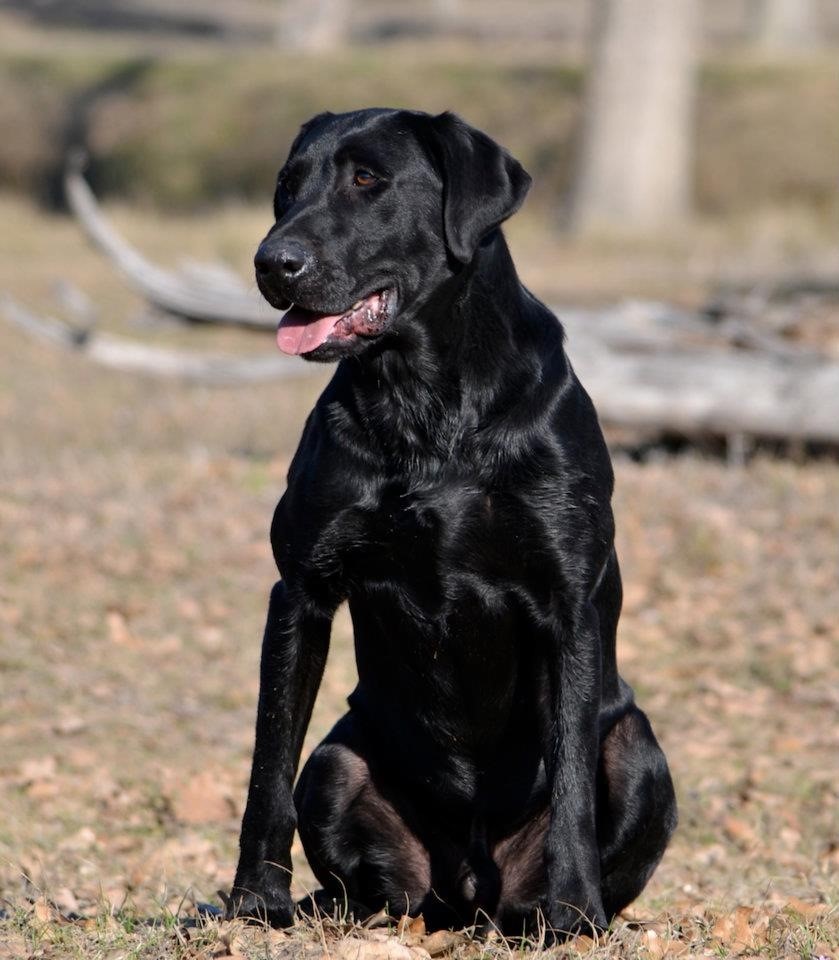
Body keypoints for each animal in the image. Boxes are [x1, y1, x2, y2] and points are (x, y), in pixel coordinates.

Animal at [225, 107, 676, 936]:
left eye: (366, 179)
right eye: (286, 186)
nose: (273, 263)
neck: (425, 402)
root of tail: (467, 896)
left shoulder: (569, 603)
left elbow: (570, 777)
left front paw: (571, 910)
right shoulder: (299, 591)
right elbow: (268, 761)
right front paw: (253, 901)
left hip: (636, 750)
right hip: (340, 766)